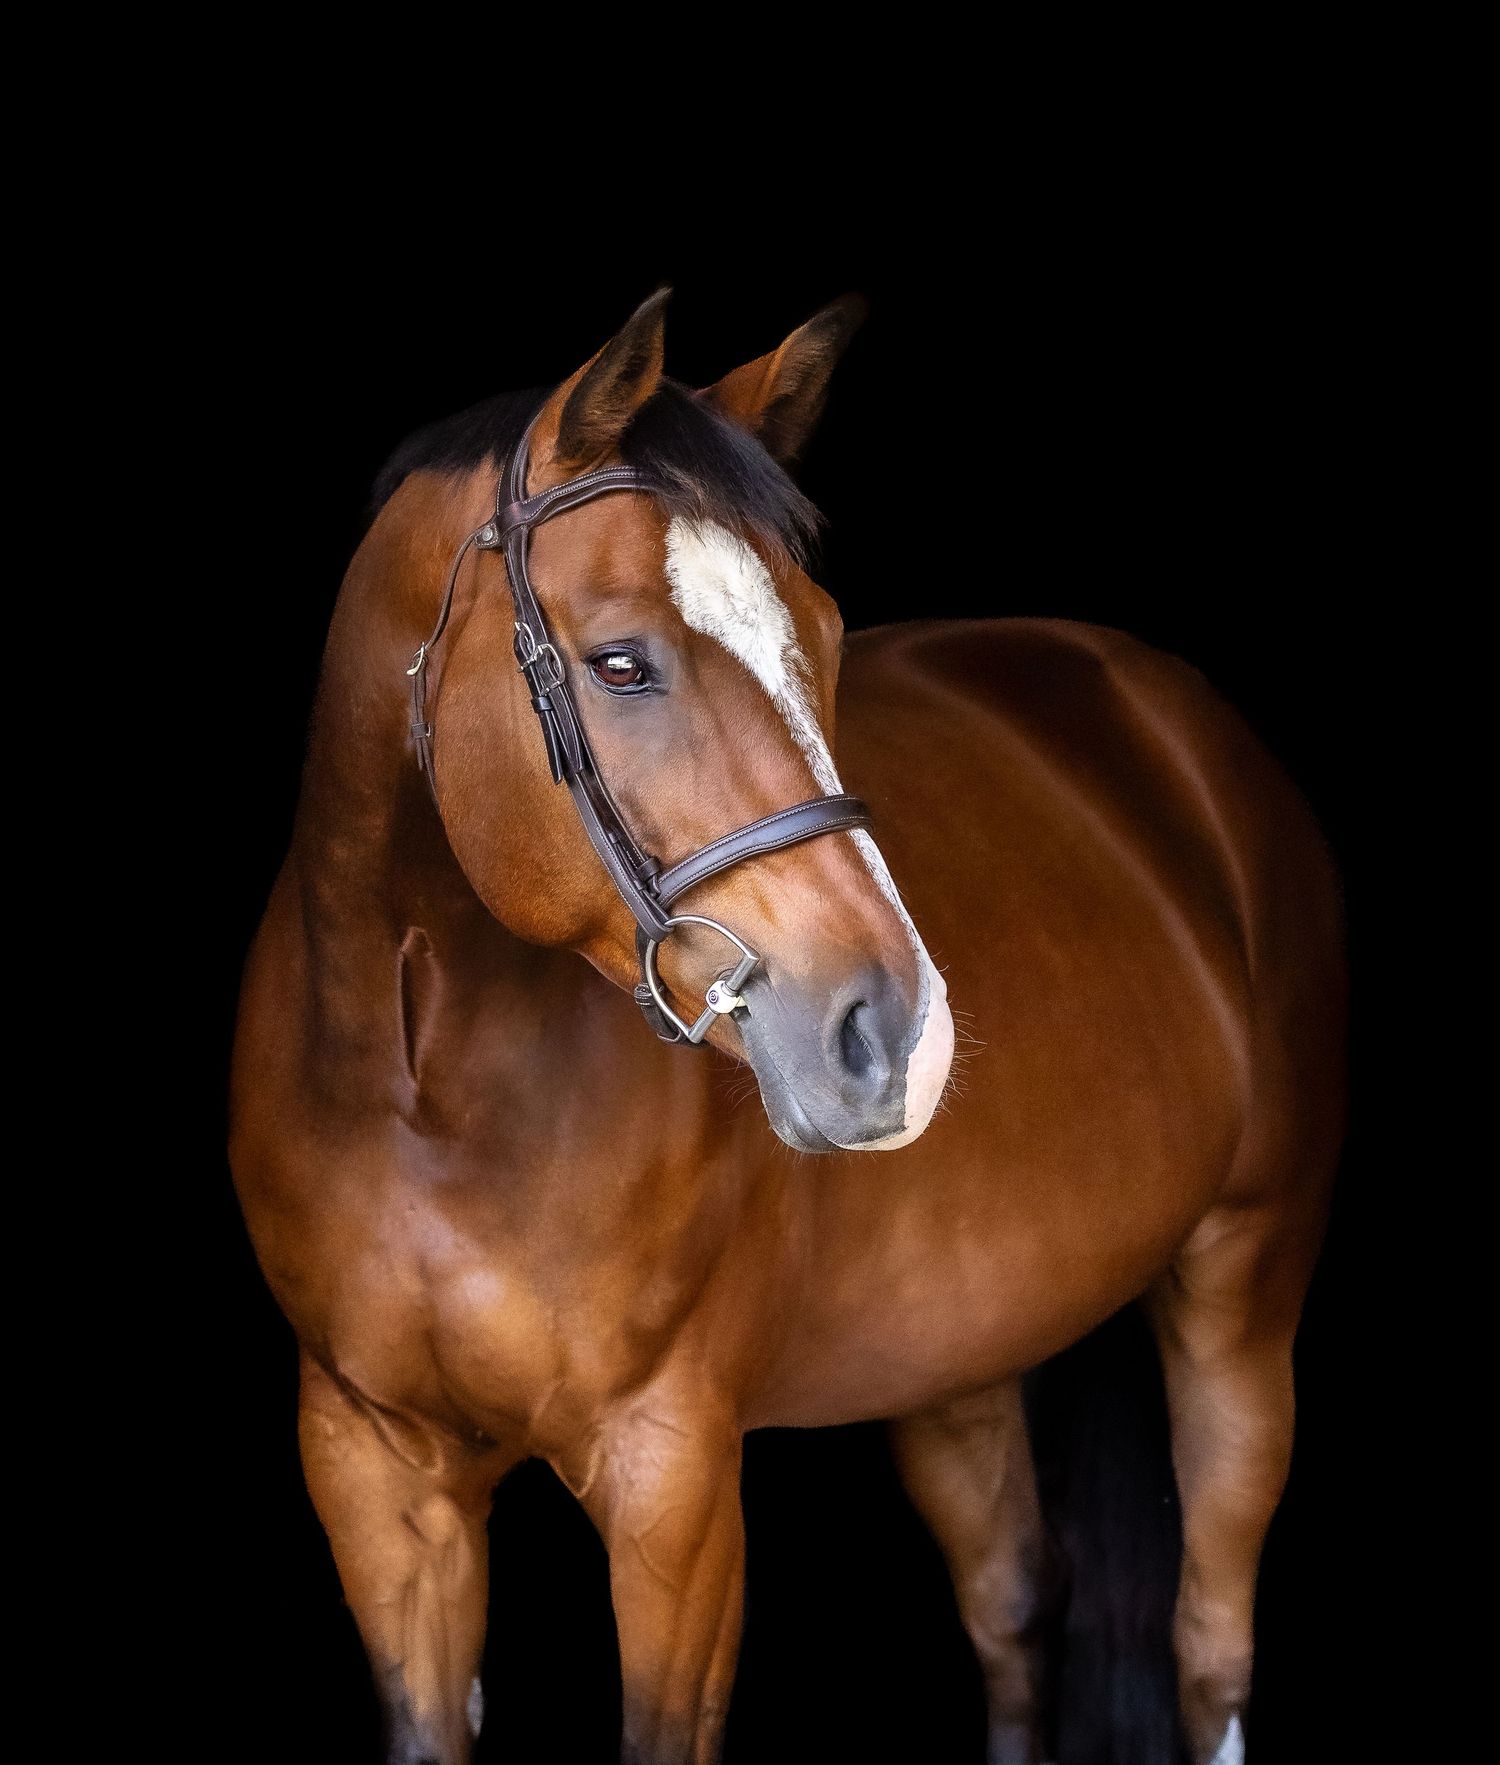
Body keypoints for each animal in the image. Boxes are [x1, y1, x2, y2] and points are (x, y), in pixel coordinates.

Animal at [229, 288, 1346, 1765]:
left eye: (820, 632)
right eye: (620, 662)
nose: (899, 1033)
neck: (423, 1089)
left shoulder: (676, 1481)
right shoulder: (374, 1476)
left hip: (1243, 1283)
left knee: (1210, 1644)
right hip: (956, 1356)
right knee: (1014, 1608)